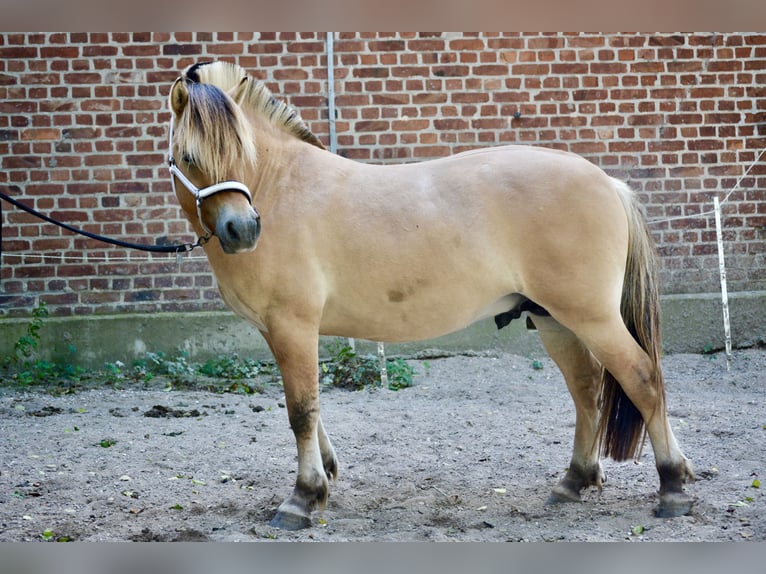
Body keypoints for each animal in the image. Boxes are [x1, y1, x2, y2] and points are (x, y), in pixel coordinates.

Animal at [166, 60, 696, 532]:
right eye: (189, 156)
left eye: (242, 150)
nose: (242, 231)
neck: (281, 188)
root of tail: (607, 181)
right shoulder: (280, 331)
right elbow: (308, 409)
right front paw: (325, 480)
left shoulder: (292, 325)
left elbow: (301, 411)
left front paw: (301, 499)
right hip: (553, 318)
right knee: (586, 389)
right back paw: (574, 481)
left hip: (591, 317)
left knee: (642, 378)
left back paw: (672, 487)